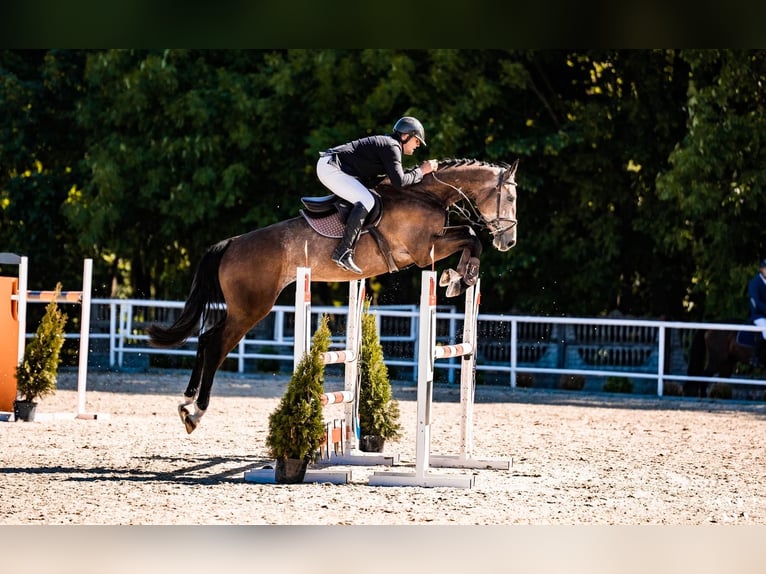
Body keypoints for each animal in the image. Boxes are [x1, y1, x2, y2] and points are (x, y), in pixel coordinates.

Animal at [148, 158, 520, 432]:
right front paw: (459, 278)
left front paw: (458, 278)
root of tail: (231, 244)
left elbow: (470, 236)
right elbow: (471, 236)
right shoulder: (422, 250)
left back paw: (186, 402)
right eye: (511, 198)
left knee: (205, 338)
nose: (509, 242)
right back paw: (195, 412)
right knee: (215, 344)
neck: (426, 195)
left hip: (243, 307)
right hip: (251, 308)